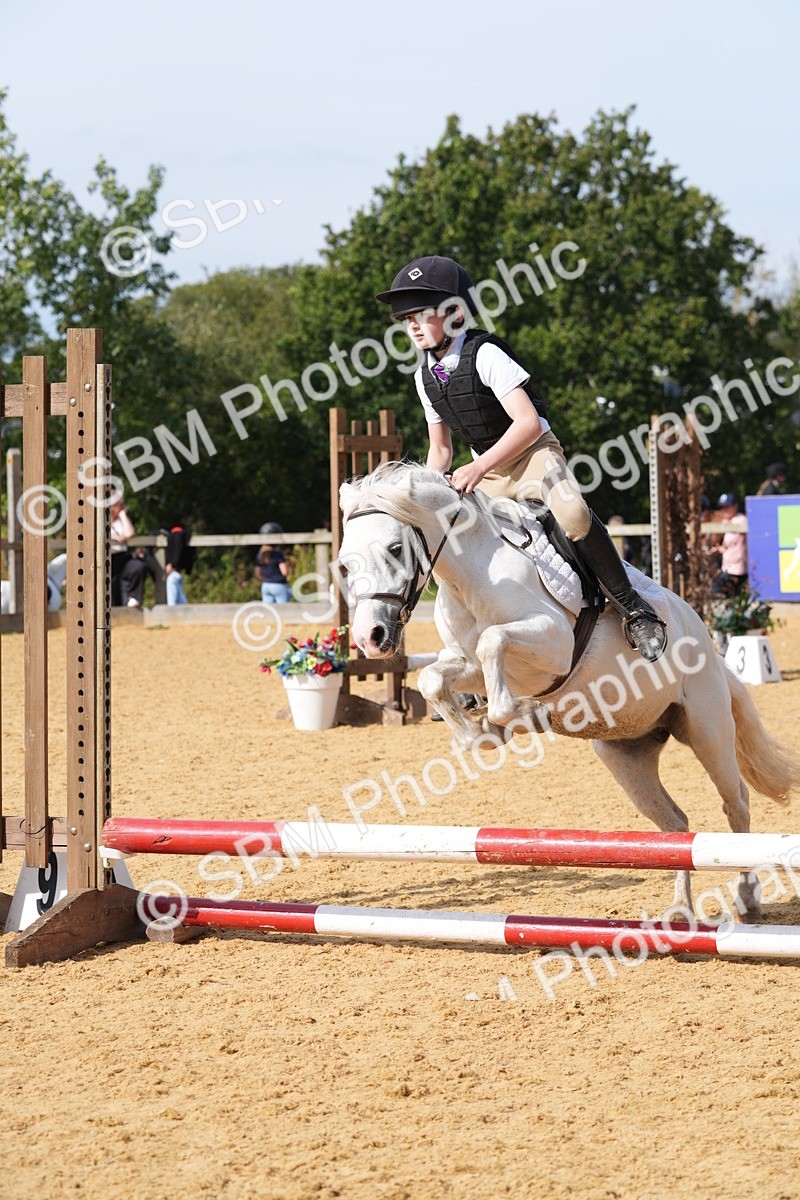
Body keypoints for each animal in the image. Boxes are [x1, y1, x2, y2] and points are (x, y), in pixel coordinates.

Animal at [338, 462, 800, 920]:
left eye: (395, 549)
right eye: (344, 566)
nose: (370, 638)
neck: (472, 574)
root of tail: (709, 645)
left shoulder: (554, 643)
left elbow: (493, 645)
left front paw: (515, 718)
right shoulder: (467, 665)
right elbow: (434, 678)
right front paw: (480, 734)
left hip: (707, 729)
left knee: (736, 804)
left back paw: (746, 899)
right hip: (626, 755)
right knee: (676, 828)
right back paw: (680, 909)